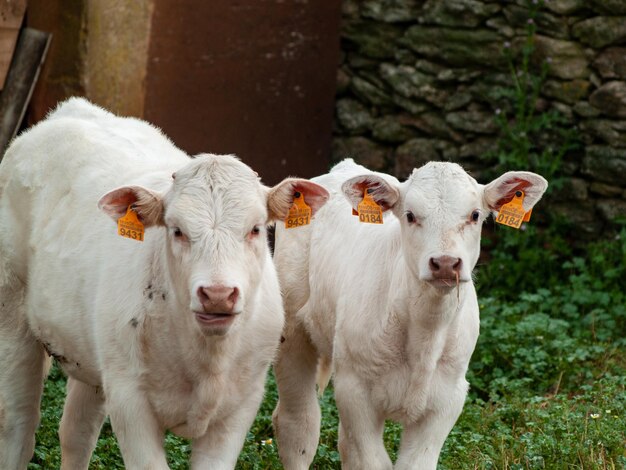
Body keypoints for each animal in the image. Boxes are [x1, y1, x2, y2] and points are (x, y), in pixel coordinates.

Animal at [0, 97, 330, 468]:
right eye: (177, 230)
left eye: (256, 228)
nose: (218, 294)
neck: (206, 359)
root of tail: (73, 109)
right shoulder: (129, 401)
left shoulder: (240, 406)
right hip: (12, 313)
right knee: (18, 424)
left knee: (76, 431)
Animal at [270, 159, 544, 470]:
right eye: (410, 215)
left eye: (475, 215)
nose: (445, 263)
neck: (424, 334)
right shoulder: (355, 390)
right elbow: (371, 462)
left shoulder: (447, 398)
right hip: (292, 333)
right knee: (298, 426)